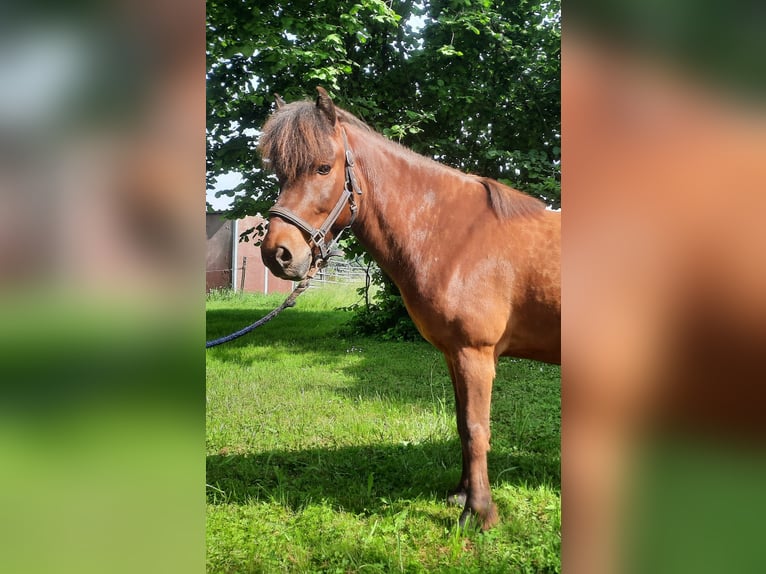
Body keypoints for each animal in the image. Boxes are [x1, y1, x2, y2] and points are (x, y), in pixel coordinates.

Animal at [259, 87, 561, 530]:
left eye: (323, 168)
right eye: (279, 173)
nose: (277, 254)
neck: (453, 235)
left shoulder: (476, 354)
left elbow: (476, 428)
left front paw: (480, 513)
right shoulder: (455, 354)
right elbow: (461, 423)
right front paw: (461, 495)